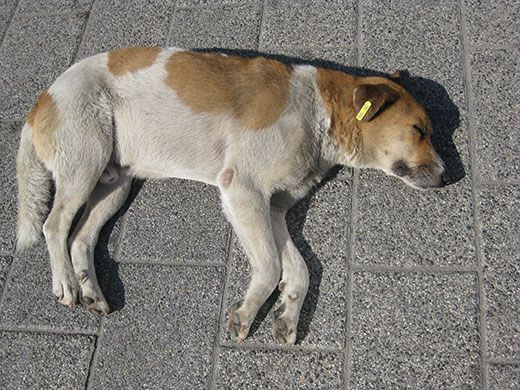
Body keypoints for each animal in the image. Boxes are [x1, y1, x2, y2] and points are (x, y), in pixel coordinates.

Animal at [16, 46, 446, 344]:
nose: (446, 176)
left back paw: (90, 290)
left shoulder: (274, 209)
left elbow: (299, 270)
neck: (318, 112)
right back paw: (67, 284)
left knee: (80, 238)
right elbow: (271, 266)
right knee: (55, 225)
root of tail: (41, 100)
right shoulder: (244, 192)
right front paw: (247, 313)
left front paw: (287, 317)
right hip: (86, 162)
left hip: (114, 185)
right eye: (419, 131)